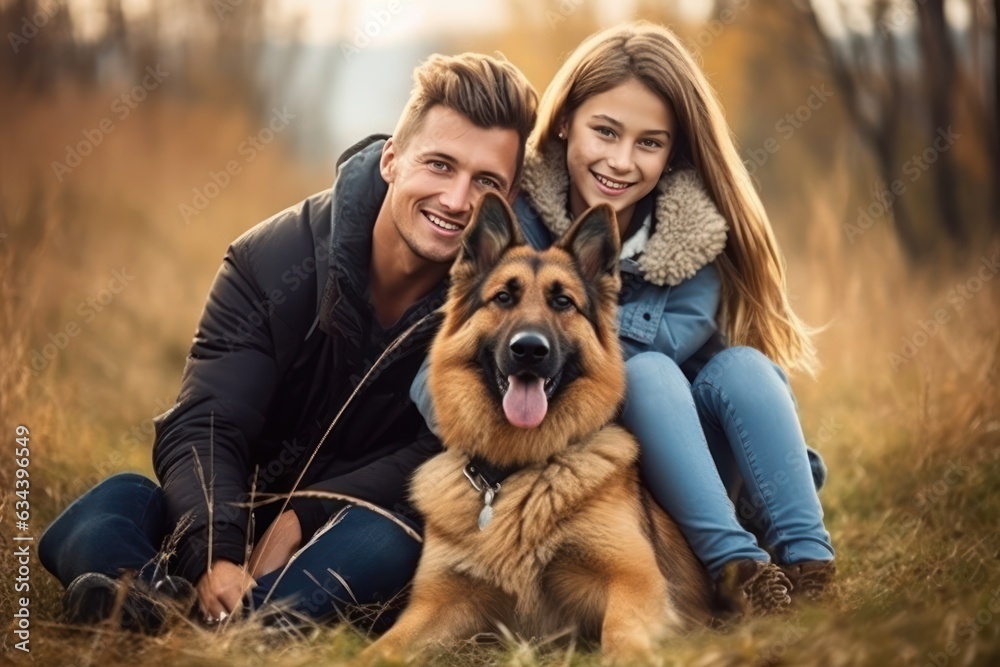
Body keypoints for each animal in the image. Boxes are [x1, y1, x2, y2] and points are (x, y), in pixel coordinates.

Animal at [360, 193, 712, 667]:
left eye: (562, 302)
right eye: (504, 297)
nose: (529, 350)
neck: (513, 475)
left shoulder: (633, 582)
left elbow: (621, 637)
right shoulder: (437, 604)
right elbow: (379, 650)